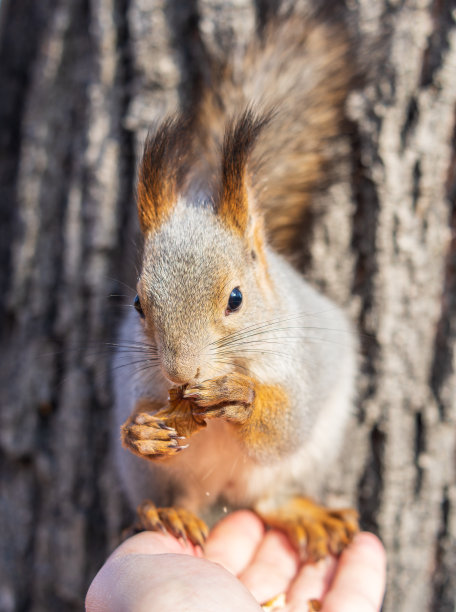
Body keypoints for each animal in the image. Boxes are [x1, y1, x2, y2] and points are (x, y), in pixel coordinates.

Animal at [113, 10, 360, 564]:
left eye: (236, 299)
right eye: (138, 304)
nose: (183, 372)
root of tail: (224, 497)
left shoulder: (302, 365)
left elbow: (286, 421)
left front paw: (241, 398)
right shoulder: (141, 382)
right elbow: (136, 421)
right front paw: (141, 432)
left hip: (311, 455)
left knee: (272, 499)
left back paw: (305, 517)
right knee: (174, 497)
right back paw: (168, 514)